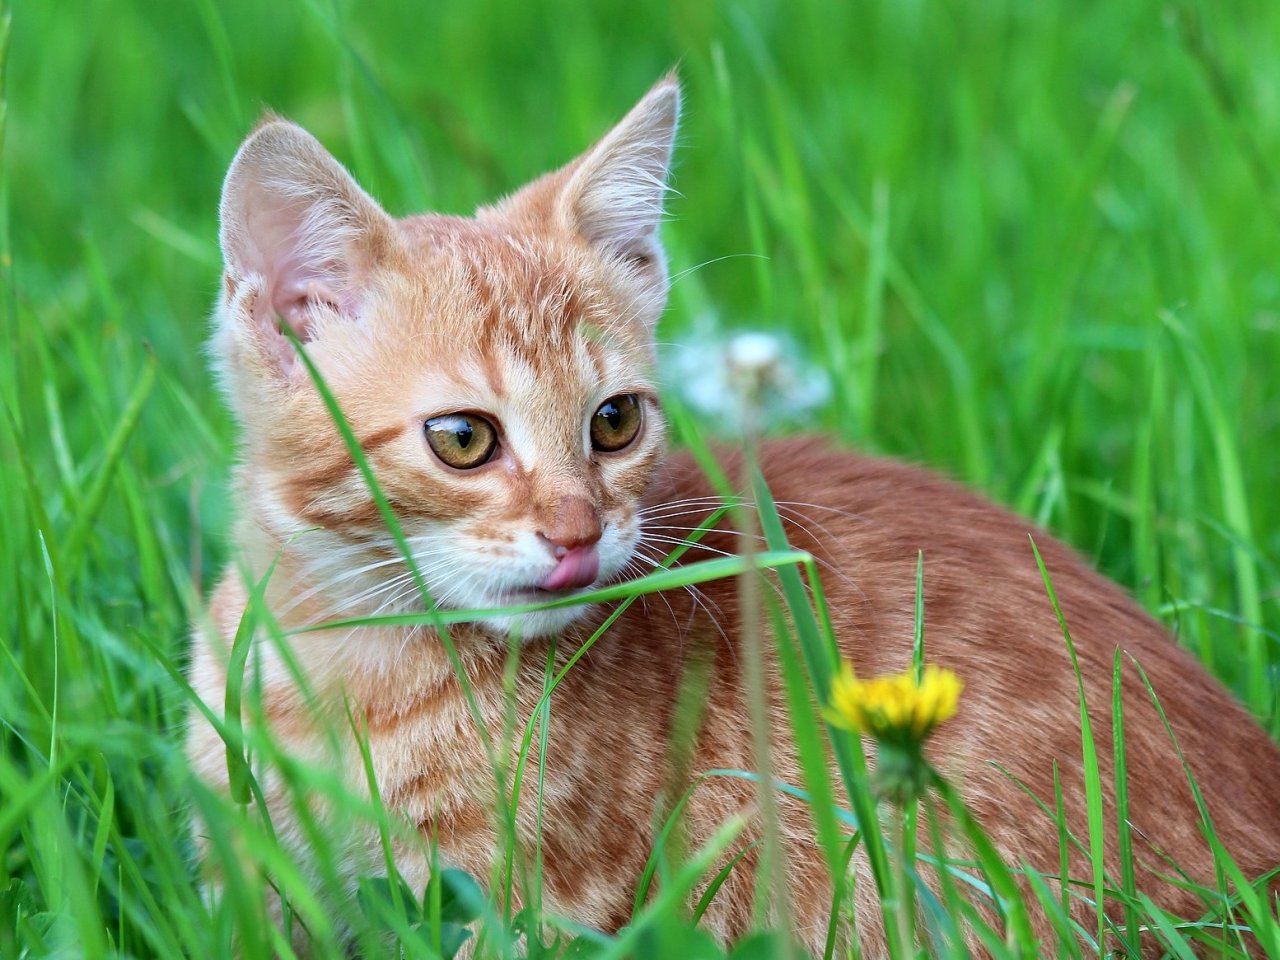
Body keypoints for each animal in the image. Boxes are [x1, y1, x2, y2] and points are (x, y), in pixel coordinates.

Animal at [189, 79, 1280, 957]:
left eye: (614, 423)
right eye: (462, 439)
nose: (579, 533)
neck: (346, 660)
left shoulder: (547, 907)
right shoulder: (248, 871)